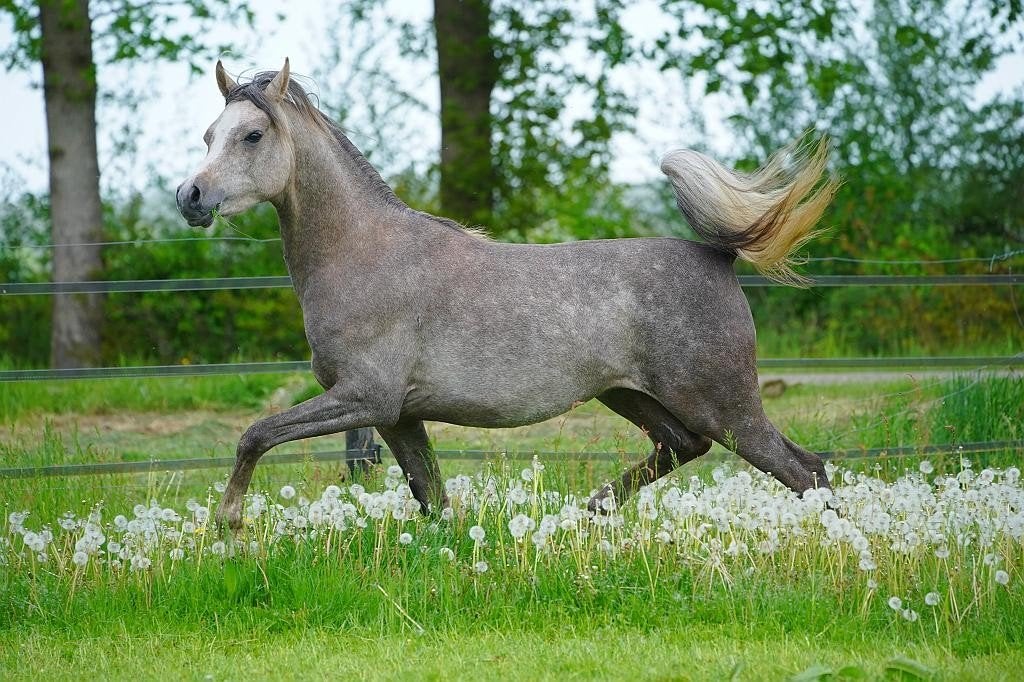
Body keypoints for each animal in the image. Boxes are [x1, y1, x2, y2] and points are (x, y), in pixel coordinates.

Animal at [176, 59, 839, 529]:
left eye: (251, 135)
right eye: (208, 134)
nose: (190, 197)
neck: (365, 255)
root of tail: (719, 256)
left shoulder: (364, 398)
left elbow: (257, 433)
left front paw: (228, 522)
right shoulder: (397, 415)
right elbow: (432, 499)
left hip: (725, 406)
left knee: (806, 471)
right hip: (633, 396)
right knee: (685, 448)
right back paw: (590, 510)